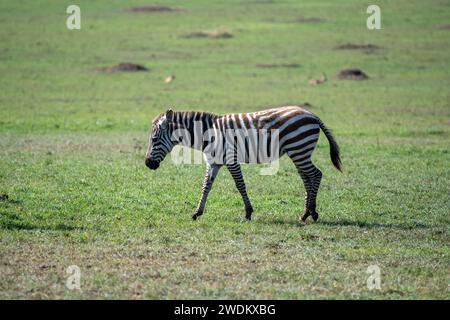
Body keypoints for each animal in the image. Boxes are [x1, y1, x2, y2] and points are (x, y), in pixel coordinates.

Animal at [144, 106, 342, 224]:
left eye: (154, 139)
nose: (147, 164)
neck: (209, 134)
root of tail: (311, 114)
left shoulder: (232, 160)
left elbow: (240, 185)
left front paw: (248, 213)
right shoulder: (214, 162)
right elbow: (206, 186)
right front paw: (197, 212)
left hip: (299, 149)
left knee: (316, 174)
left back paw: (311, 212)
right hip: (299, 152)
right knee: (307, 177)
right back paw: (307, 213)